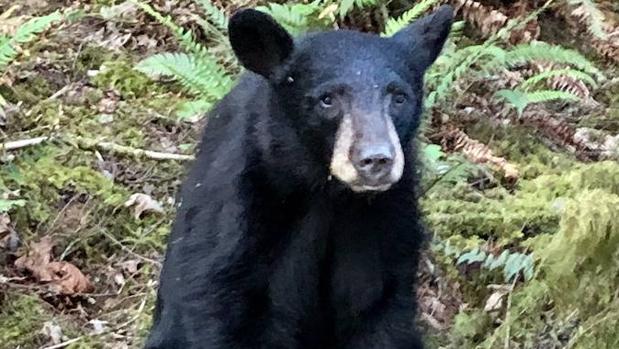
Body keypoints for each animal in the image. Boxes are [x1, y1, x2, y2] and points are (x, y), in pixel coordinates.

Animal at [147, 6, 452, 348]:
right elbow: (216, 301)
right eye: (327, 99)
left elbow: (378, 308)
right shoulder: (239, 212)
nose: (376, 159)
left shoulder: (388, 220)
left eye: (399, 97)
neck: (327, 192)